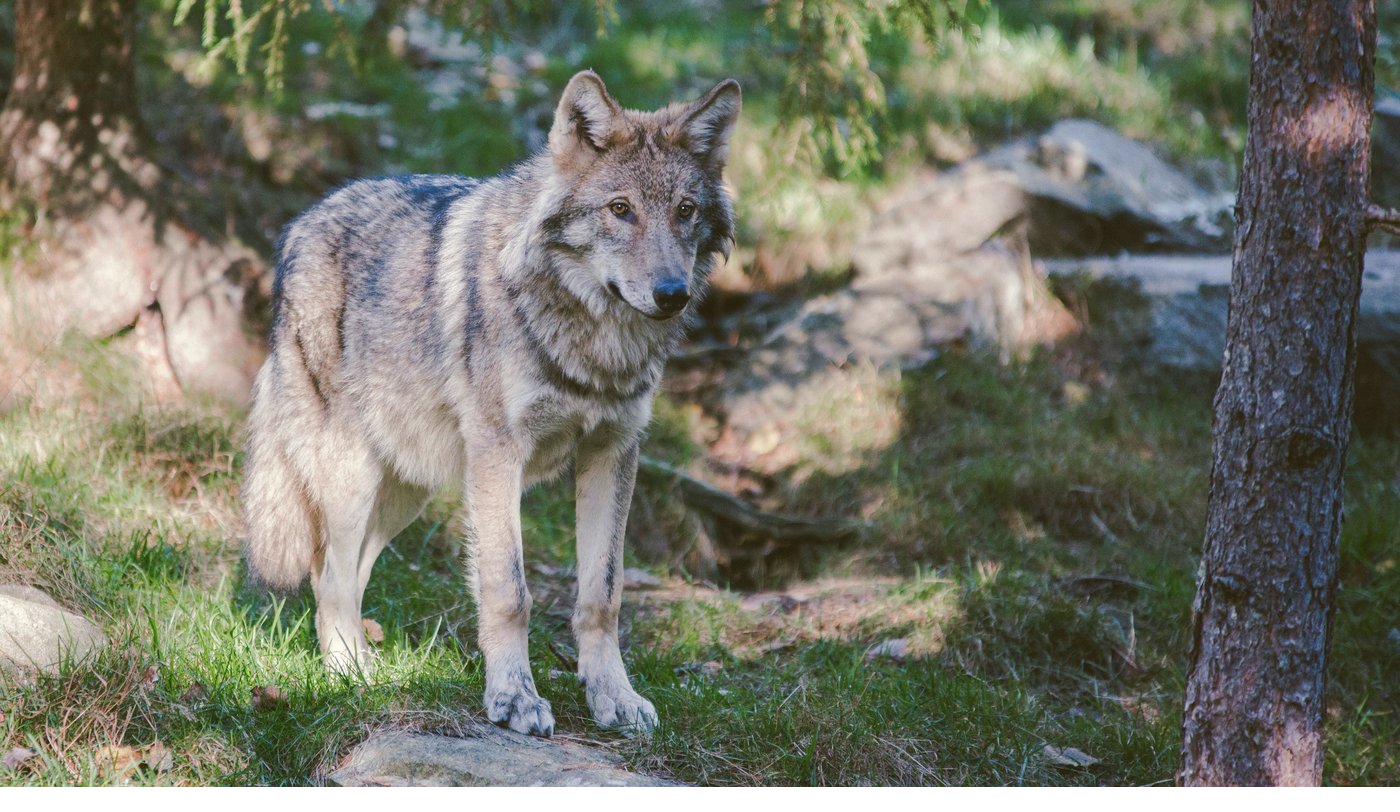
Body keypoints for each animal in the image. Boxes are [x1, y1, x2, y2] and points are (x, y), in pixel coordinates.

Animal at [240, 71, 740, 737]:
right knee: (329, 577)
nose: (672, 294)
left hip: (408, 489)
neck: (594, 343)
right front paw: (514, 698)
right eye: (620, 209)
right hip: (352, 477)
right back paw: (350, 676)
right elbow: (509, 592)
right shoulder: (502, 456)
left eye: (685, 211)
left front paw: (614, 697)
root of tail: (300, 226)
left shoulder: (613, 452)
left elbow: (602, 596)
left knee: (350, 572)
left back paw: (368, 667)